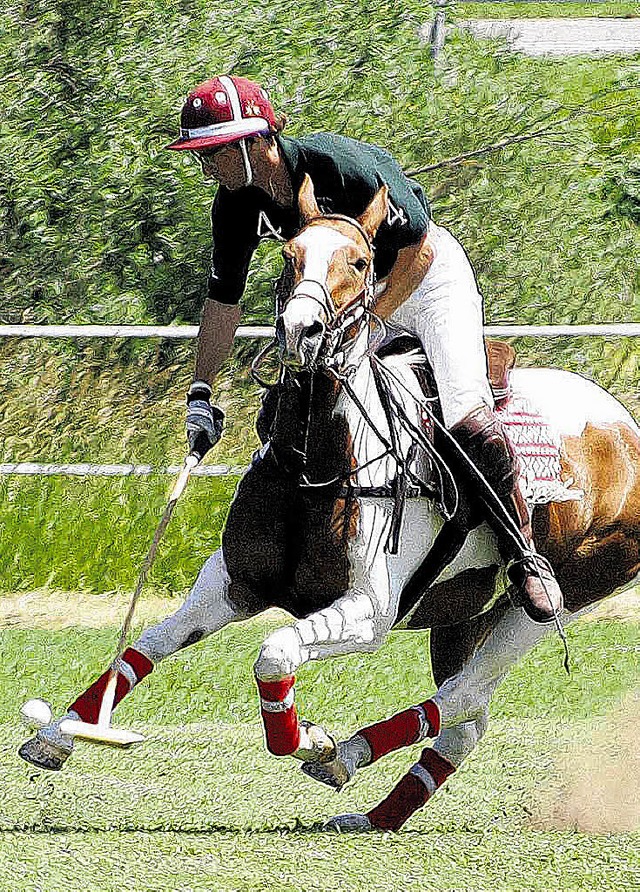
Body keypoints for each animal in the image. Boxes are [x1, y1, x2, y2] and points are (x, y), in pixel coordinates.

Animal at [18, 176, 640, 836]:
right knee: (468, 721)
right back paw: (377, 814)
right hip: (462, 616)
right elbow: (147, 647)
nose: (302, 330)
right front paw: (60, 734)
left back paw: (346, 754)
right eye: (288, 255)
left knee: (466, 694)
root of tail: (623, 425)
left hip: (562, 596)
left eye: (362, 261)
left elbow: (274, 653)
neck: (312, 464)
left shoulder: (369, 611)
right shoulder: (232, 584)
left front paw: (311, 739)